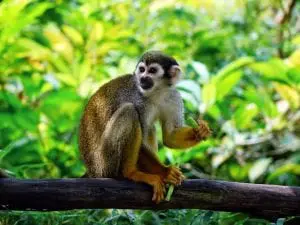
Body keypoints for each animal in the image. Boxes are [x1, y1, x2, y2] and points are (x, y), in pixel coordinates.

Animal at [79, 51, 211, 204]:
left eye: (152, 71)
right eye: (142, 70)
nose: (142, 78)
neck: (157, 92)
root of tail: (92, 170)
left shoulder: (173, 97)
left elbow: (170, 136)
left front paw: (199, 131)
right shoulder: (139, 100)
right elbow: (141, 143)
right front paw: (165, 172)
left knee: (150, 128)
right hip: (104, 164)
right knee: (129, 111)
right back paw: (131, 173)